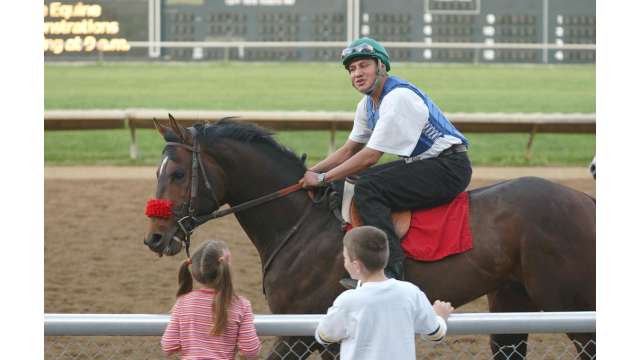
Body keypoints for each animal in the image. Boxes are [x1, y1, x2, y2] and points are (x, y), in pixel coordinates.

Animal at [144, 116, 596, 360]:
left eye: (178, 173)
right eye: (158, 171)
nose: (154, 237)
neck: (301, 223)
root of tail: (584, 200)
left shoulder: (296, 331)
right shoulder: (326, 333)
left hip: (570, 306)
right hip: (511, 304)